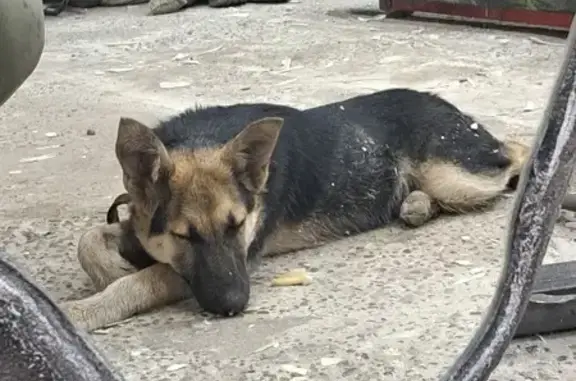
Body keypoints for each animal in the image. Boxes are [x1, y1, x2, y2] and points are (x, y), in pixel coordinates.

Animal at [60, 88, 528, 330]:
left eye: (238, 225)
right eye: (182, 236)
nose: (234, 306)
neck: (200, 137)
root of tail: (448, 105)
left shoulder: (230, 259)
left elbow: (144, 281)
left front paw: (85, 309)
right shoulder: (140, 224)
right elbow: (90, 238)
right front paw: (108, 268)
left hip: (458, 177)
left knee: (516, 152)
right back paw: (415, 204)